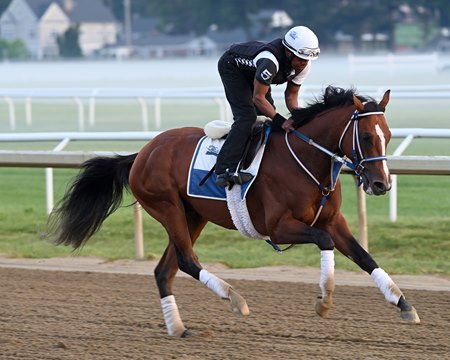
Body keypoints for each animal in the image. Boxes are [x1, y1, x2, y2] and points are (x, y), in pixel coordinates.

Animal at [47, 86, 420, 336]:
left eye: (388, 135)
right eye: (368, 138)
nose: (381, 184)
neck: (306, 158)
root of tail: (142, 152)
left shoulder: (333, 221)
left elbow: (364, 256)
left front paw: (404, 304)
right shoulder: (278, 226)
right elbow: (324, 242)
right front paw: (324, 300)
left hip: (193, 215)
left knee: (165, 270)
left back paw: (178, 327)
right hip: (167, 207)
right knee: (186, 261)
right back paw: (234, 298)